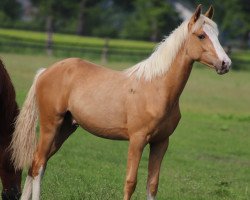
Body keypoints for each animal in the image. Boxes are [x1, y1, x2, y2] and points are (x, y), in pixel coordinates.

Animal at [11, 4, 230, 200]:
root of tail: (45, 72)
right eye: (201, 35)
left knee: (36, 164)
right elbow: (130, 182)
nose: (226, 64)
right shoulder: (137, 140)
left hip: (66, 128)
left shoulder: (161, 143)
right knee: (39, 165)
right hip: (51, 125)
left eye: (218, 35)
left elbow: (152, 184)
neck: (156, 88)